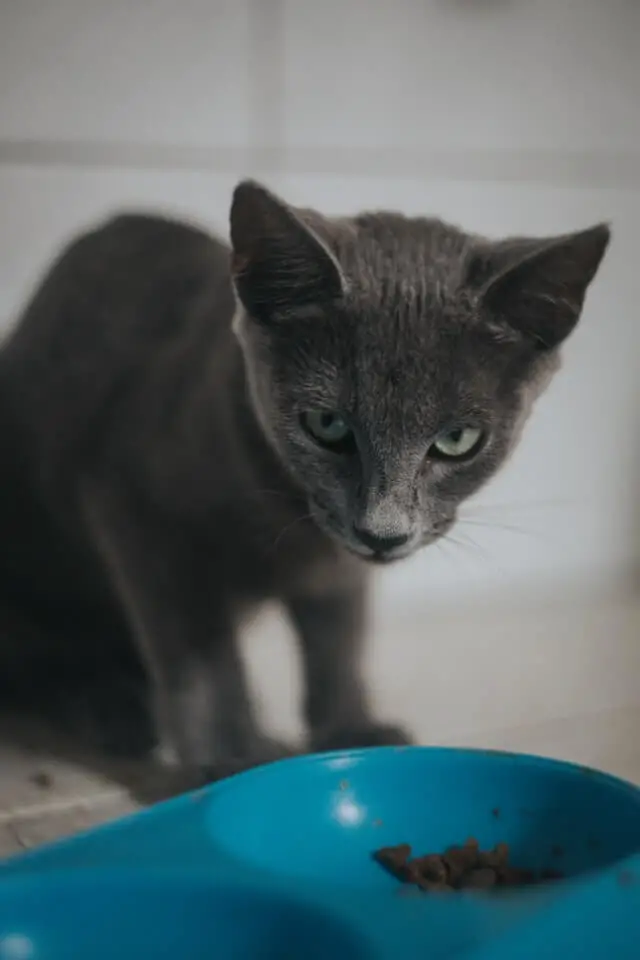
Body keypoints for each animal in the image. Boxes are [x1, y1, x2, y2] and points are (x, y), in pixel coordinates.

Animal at [0, 180, 608, 780]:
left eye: (458, 439)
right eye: (327, 424)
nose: (383, 532)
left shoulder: (339, 572)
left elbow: (339, 639)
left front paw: (351, 731)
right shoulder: (136, 503)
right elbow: (199, 648)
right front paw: (234, 755)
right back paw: (106, 706)